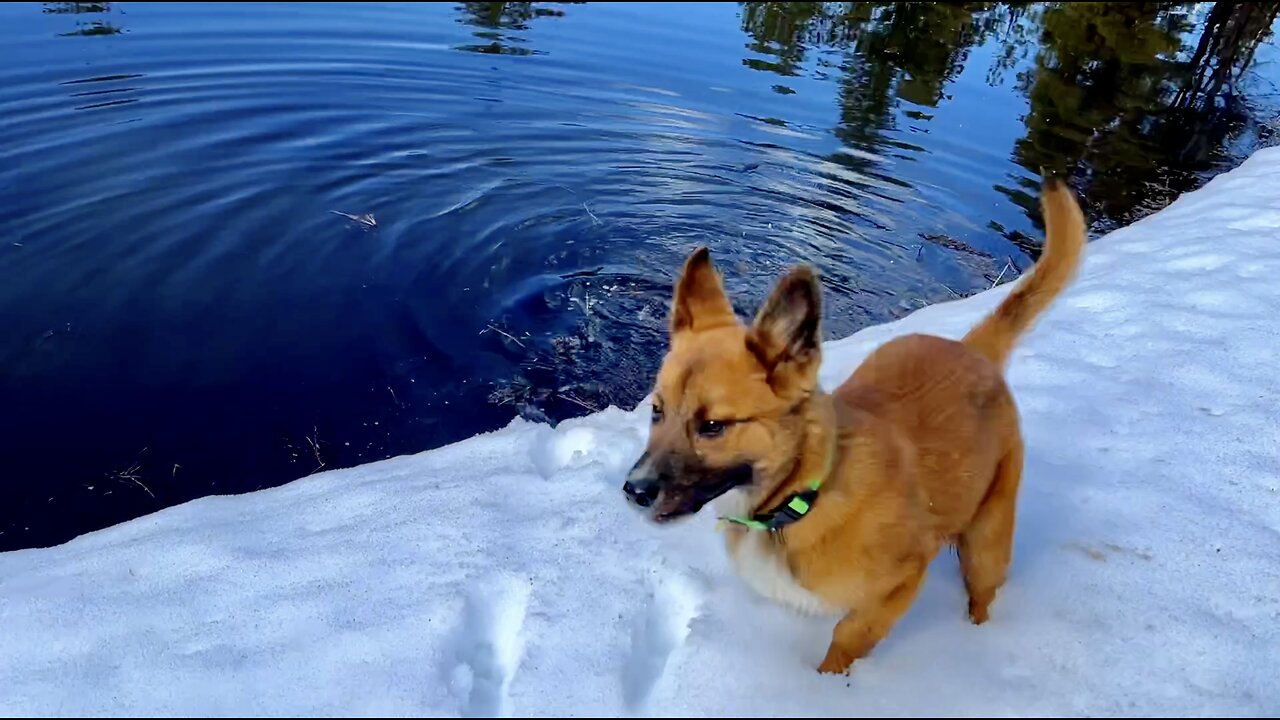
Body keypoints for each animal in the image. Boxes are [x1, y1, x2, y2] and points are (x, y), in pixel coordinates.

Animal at [624, 179, 1085, 671]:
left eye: (712, 425)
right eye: (656, 410)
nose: (634, 491)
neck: (805, 493)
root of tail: (973, 349)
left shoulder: (902, 580)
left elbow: (848, 637)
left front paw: (829, 681)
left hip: (987, 540)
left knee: (982, 590)